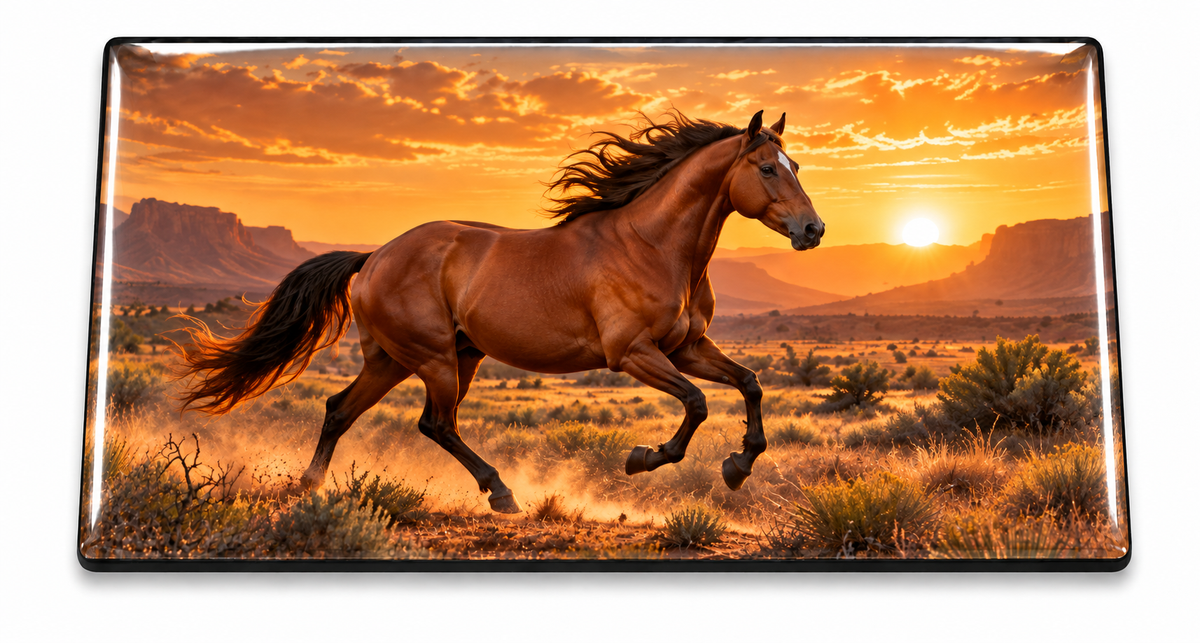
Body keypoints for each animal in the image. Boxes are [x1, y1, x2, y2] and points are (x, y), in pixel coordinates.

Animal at [174, 110, 825, 513]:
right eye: (768, 168)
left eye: (796, 167)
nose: (813, 230)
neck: (653, 245)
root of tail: (376, 255)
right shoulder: (633, 354)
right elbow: (696, 404)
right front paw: (645, 459)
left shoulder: (686, 347)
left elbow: (750, 383)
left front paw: (739, 465)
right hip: (433, 359)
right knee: (435, 424)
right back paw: (501, 493)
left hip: (410, 359)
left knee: (341, 410)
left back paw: (308, 486)